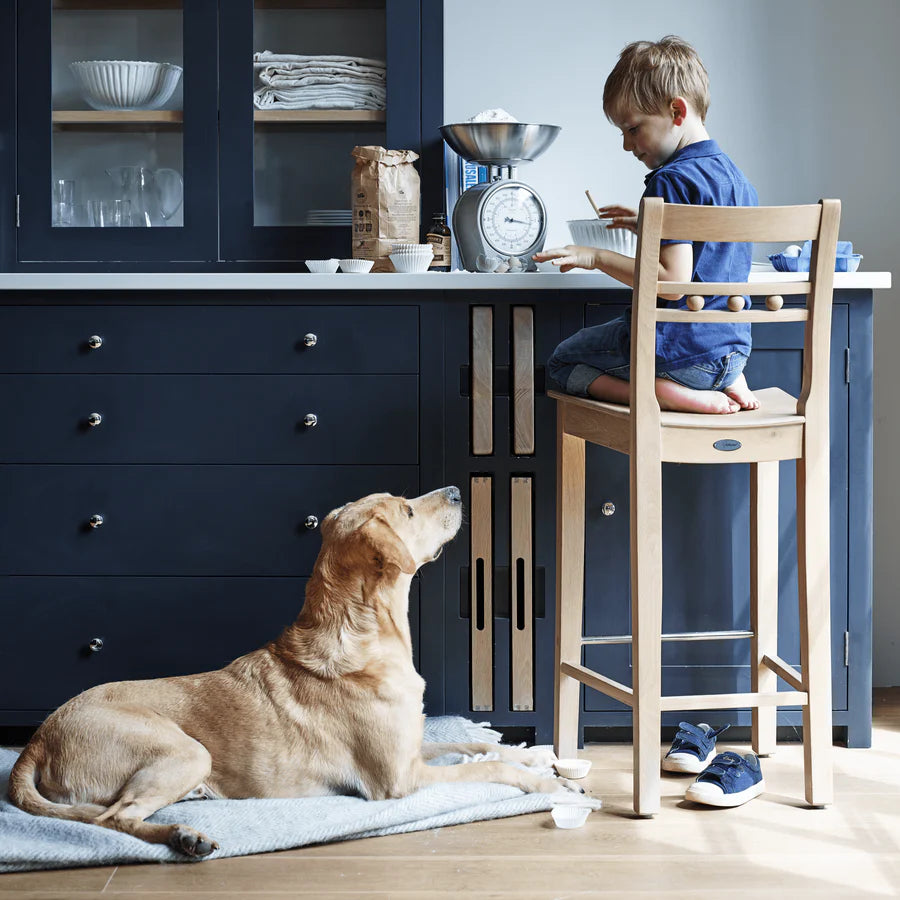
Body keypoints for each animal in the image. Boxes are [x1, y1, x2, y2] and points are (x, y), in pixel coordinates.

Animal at [8, 488, 576, 856]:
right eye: (408, 509)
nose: (458, 490)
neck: (366, 633)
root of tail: (37, 739)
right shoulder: (399, 779)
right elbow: (492, 770)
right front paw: (553, 786)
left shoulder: (415, 746)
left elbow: (478, 743)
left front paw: (543, 756)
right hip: (184, 751)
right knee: (113, 818)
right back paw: (184, 837)